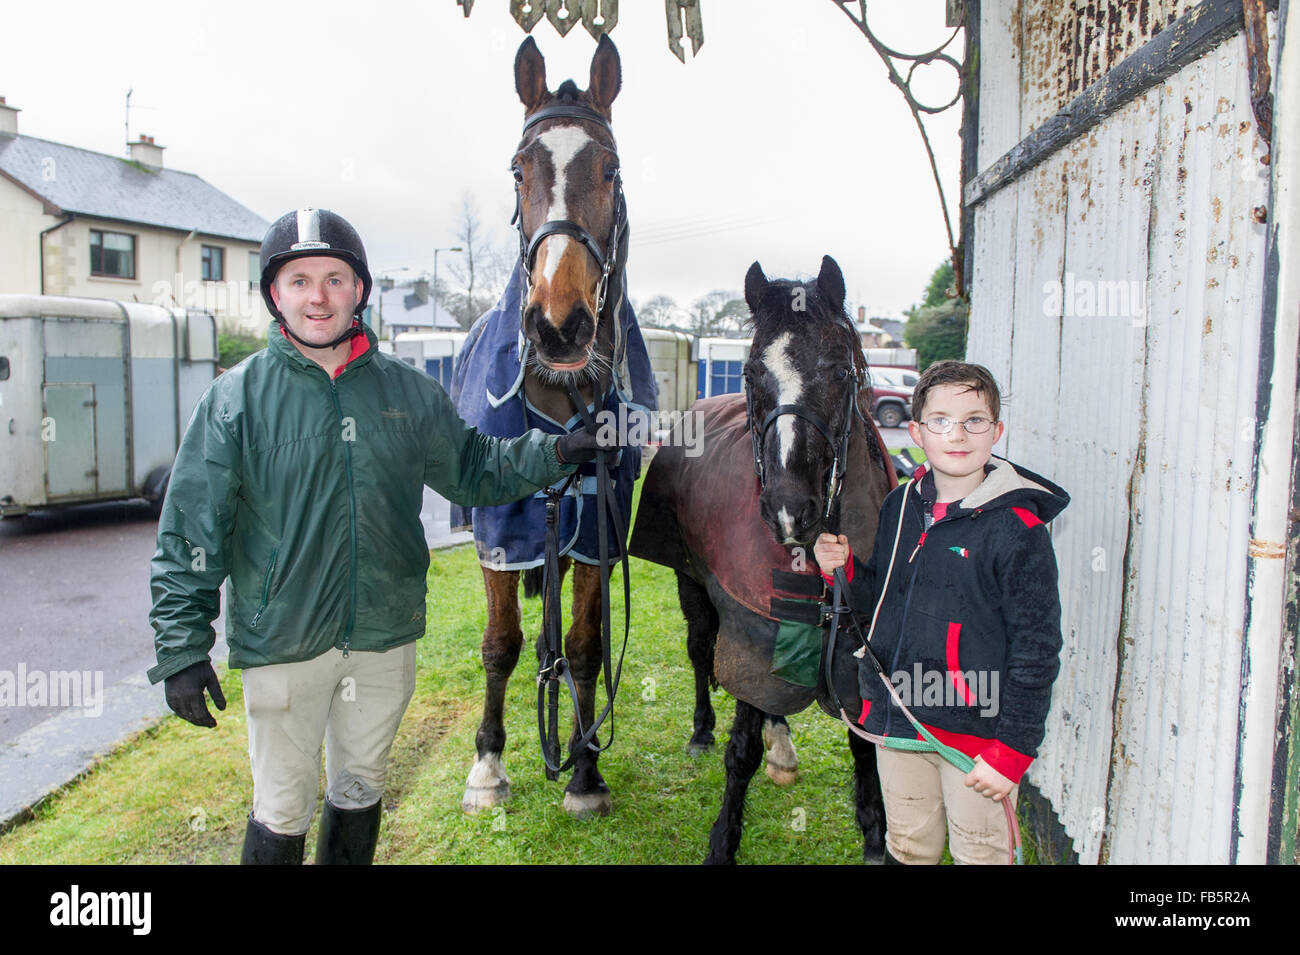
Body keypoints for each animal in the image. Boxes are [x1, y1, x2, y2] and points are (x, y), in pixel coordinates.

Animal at [452, 33, 650, 815]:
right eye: (518, 169)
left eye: (612, 168)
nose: (560, 325)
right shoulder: (500, 524)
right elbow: (499, 643)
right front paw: (488, 764)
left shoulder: (596, 519)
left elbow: (589, 644)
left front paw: (586, 768)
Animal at [629, 255, 894, 867]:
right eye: (750, 375)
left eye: (839, 373)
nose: (789, 510)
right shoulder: (749, 626)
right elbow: (741, 750)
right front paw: (723, 841)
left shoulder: (855, 637)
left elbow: (864, 741)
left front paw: (874, 834)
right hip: (692, 587)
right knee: (700, 652)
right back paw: (704, 730)